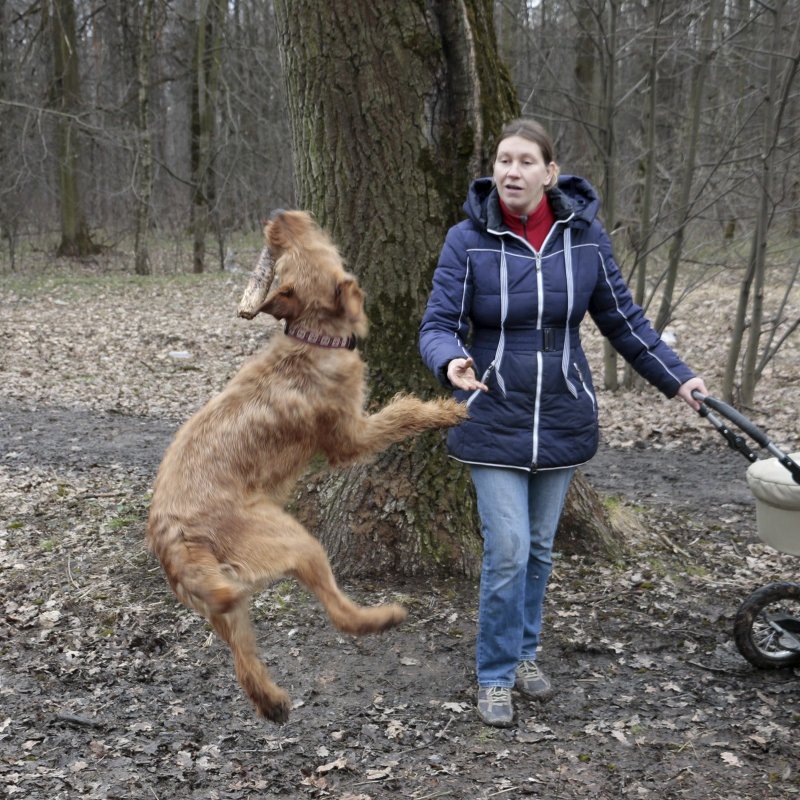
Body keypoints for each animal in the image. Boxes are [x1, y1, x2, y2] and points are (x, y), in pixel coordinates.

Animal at [147, 209, 466, 720]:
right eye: (315, 247)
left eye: (289, 257)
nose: (278, 217)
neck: (313, 338)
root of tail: (172, 533)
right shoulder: (350, 437)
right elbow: (400, 414)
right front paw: (445, 411)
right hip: (297, 542)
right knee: (340, 615)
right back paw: (382, 617)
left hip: (222, 603)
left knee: (242, 660)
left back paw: (272, 701)